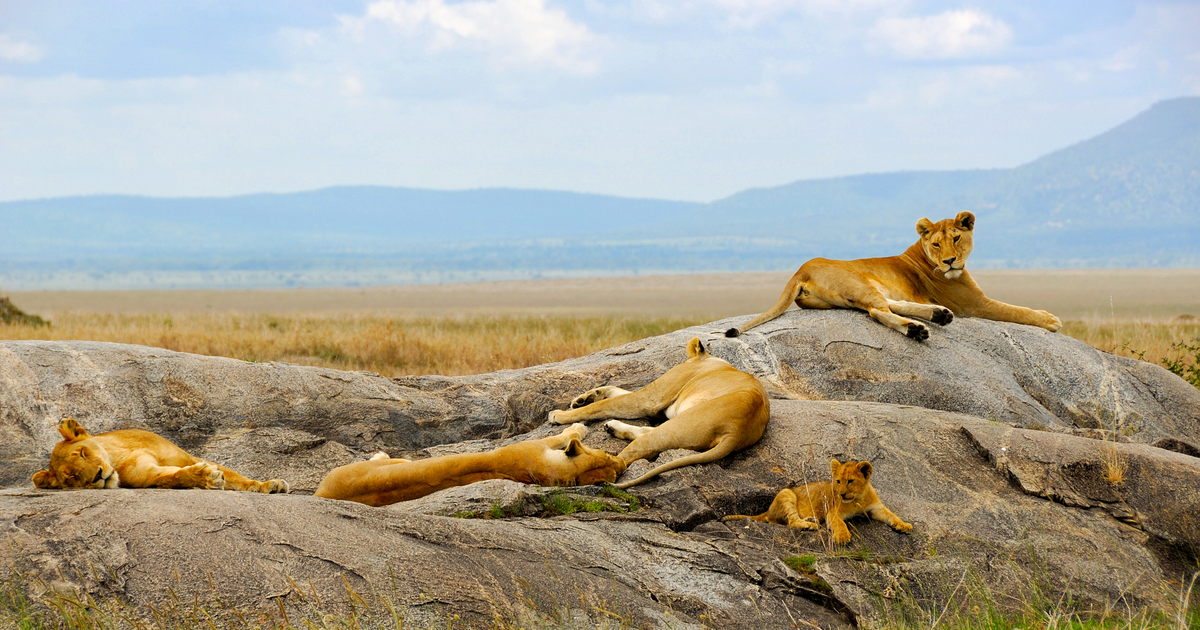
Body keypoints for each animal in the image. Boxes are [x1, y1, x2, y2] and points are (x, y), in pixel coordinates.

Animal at [32, 417, 290, 492]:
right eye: (71, 478)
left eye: (83, 453)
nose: (97, 476)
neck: (119, 456)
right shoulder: (147, 475)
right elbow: (173, 477)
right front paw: (205, 478)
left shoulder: (188, 457)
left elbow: (237, 477)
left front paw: (269, 485)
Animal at [314, 422, 624, 506]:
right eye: (607, 453)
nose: (622, 462)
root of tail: (321, 493)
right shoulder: (535, 446)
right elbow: (565, 434)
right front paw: (579, 426)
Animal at [549, 336, 768, 489]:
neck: (710, 360)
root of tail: (736, 431)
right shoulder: (658, 407)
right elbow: (614, 392)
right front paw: (586, 397)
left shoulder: (650, 399)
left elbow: (604, 405)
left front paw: (559, 415)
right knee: (646, 435)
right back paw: (612, 427)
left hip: (676, 426)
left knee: (625, 459)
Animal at [720, 458, 907, 542]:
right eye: (838, 481)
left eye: (850, 481)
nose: (841, 494)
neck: (858, 498)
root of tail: (767, 510)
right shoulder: (833, 512)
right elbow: (840, 523)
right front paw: (842, 537)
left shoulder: (876, 508)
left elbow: (892, 515)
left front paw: (904, 526)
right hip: (787, 493)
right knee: (791, 522)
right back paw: (809, 525)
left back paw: (811, 520)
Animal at [724, 211, 1065, 338]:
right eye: (937, 244)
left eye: (956, 238)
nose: (949, 262)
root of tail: (800, 270)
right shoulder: (975, 304)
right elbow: (1015, 310)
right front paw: (1049, 319)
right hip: (860, 283)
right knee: (878, 311)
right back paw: (916, 329)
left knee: (888, 305)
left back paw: (938, 315)